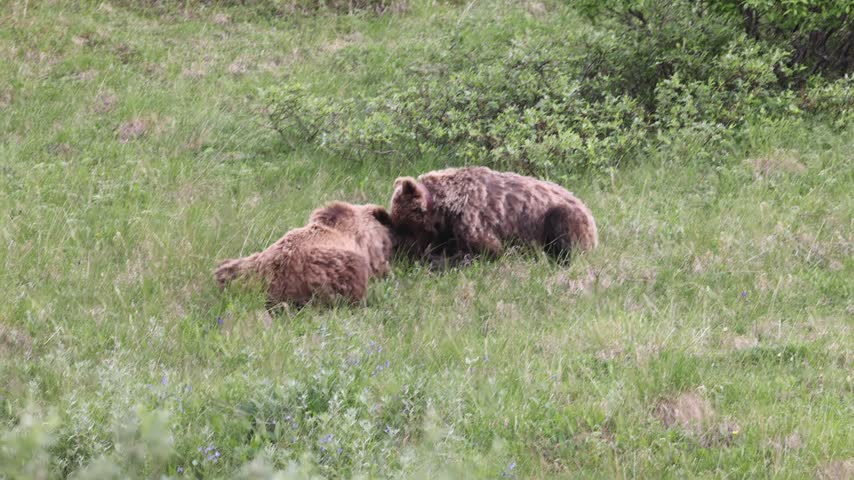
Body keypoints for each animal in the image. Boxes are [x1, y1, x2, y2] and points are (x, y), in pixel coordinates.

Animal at [390, 166, 597, 264]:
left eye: (405, 226)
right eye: (396, 222)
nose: (399, 251)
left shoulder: (470, 219)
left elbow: (487, 250)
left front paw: (435, 260)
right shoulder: (448, 230)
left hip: (560, 216)